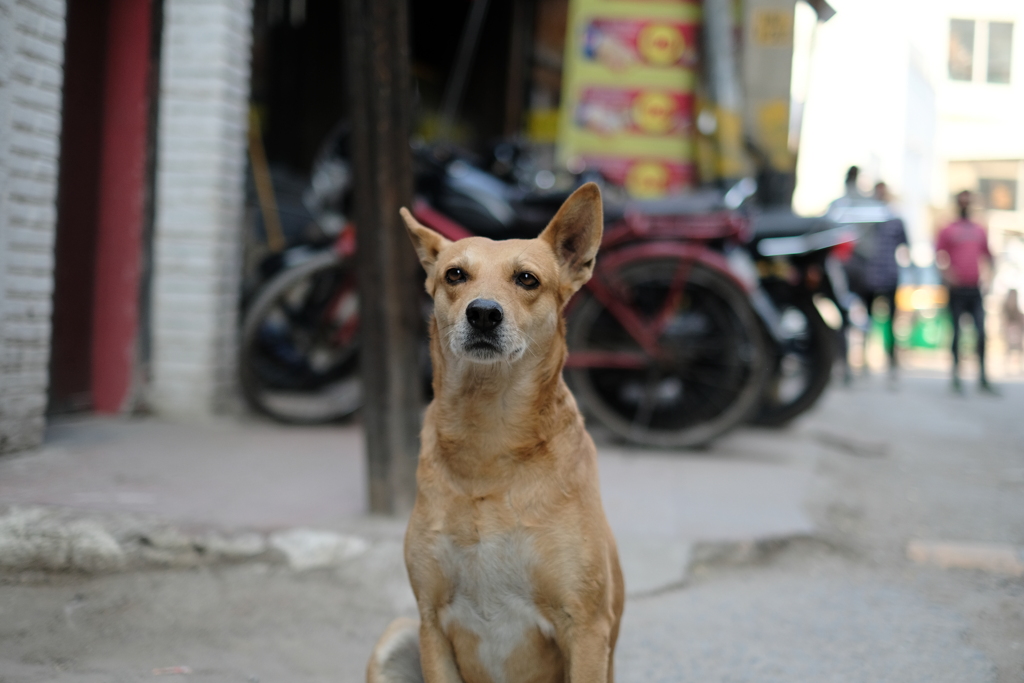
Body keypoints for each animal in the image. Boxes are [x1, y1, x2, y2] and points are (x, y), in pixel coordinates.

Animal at [368, 183, 622, 683]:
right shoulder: (430, 622)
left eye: (526, 279)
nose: (483, 313)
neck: (488, 438)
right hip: (395, 638)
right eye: (455, 274)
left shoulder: (586, 627)